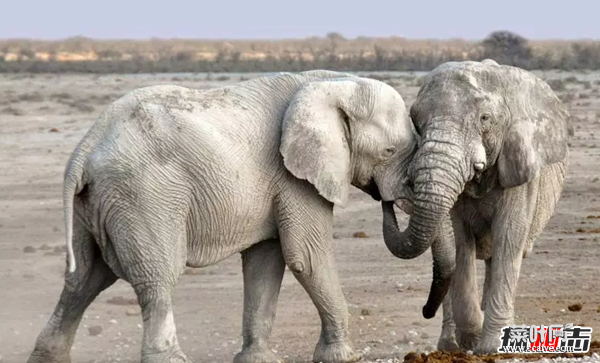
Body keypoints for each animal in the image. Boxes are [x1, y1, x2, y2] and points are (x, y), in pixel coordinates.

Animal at [25, 69, 420, 362]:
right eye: (388, 151)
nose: (389, 200)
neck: (334, 83)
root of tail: (86, 146)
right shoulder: (294, 177)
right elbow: (306, 257)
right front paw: (342, 356)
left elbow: (266, 261)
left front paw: (258, 360)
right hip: (144, 195)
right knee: (157, 277)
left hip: (95, 204)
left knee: (83, 279)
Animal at [382, 60, 568, 356]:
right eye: (416, 122)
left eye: (485, 119)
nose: (424, 311)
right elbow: (460, 244)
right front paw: (473, 338)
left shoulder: (520, 168)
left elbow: (509, 237)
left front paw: (491, 348)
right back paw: (449, 346)